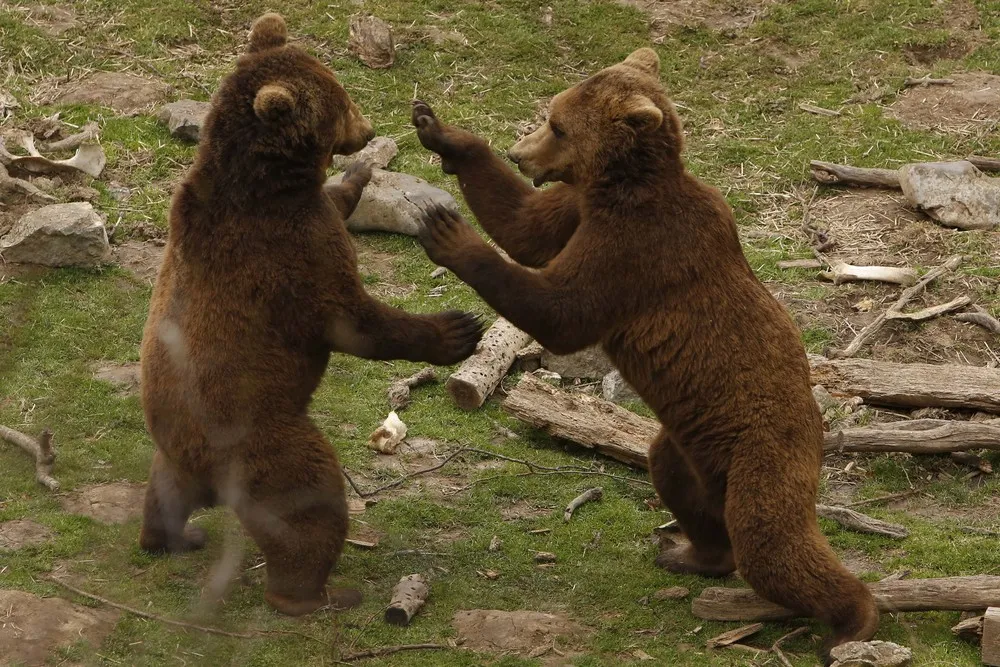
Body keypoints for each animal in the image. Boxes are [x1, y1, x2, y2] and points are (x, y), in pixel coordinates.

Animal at [139, 11, 482, 616]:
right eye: (341, 103)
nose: (366, 132)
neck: (267, 182)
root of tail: (199, 464)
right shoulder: (288, 255)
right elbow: (354, 320)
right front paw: (456, 329)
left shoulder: (304, 214)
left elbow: (337, 204)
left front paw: (360, 175)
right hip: (263, 442)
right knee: (309, 506)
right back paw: (315, 593)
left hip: (172, 451)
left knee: (163, 492)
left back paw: (174, 537)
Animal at [410, 48, 880, 664]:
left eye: (558, 126)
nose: (521, 151)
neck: (620, 189)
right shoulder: (579, 211)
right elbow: (523, 224)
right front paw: (439, 130)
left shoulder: (636, 249)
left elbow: (560, 309)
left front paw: (448, 232)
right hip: (686, 443)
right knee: (677, 483)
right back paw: (691, 553)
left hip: (764, 453)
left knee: (771, 544)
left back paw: (853, 621)